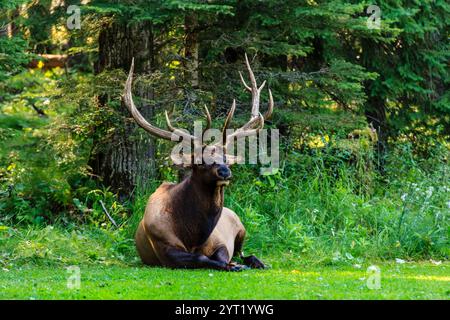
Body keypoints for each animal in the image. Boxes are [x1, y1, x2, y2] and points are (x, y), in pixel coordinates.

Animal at [125, 54, 276, 270]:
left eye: (226, 159)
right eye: (201, 161)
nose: (224, 172)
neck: (193, 236)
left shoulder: (220, 242)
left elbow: (221, 256)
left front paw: (234, 264)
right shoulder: (164, 248)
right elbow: (202, 259)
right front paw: (232, 266)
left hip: (241, 229)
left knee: (244, 252)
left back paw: (257, 262)